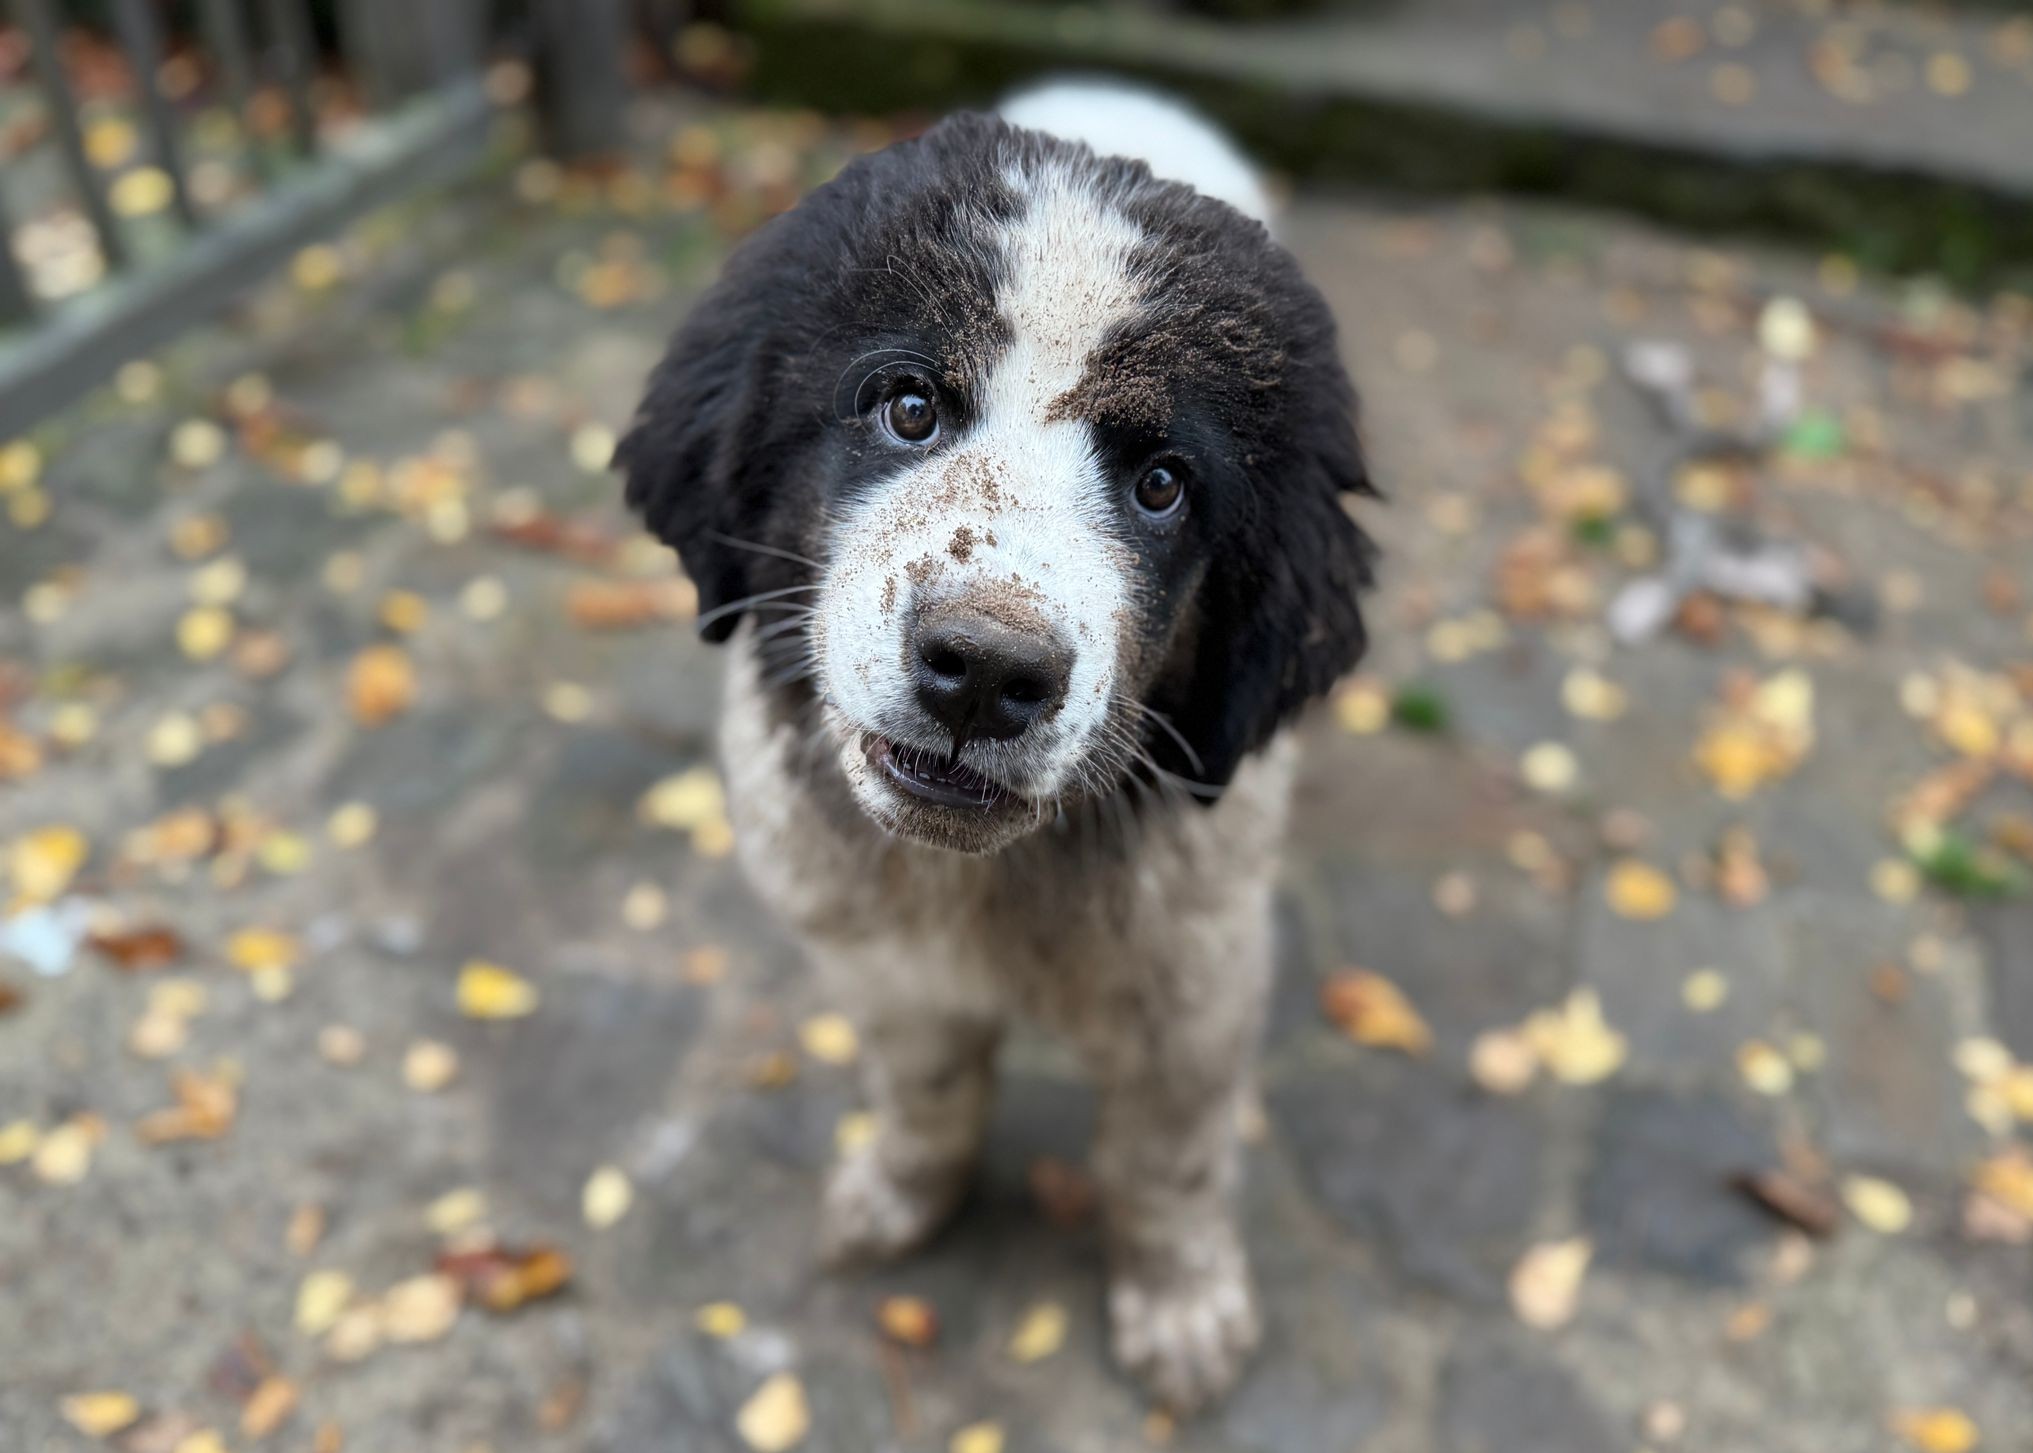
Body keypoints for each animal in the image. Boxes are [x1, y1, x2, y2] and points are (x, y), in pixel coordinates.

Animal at [617, 82, 1376, 1411]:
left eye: (1163, 484)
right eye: (907, 407)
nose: (983, 672)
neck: (988, 889)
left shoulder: (1194, 984)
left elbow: (1167, 1160)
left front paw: (1182, 1308)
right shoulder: (887, 968)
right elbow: (925, 1092)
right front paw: (899, 1194)